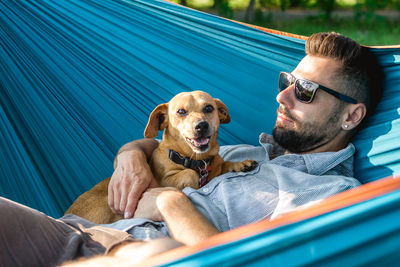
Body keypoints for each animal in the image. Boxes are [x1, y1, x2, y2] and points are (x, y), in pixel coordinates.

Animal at [66, 91, 256, 225]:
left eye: (209, 108)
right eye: (181, 111)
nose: (201, 126)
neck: (196, 159)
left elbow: (223, 164)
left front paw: (241, 164)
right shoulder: (166, 180)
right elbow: (189, 174)